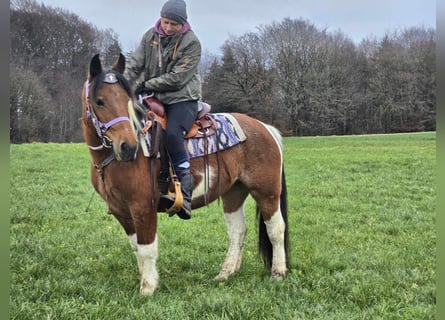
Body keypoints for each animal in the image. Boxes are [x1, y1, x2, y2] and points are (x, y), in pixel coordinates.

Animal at [81, 53, 290, 296]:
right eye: (99, 101)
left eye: (127, 100)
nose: (128, 147)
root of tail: (265, 128)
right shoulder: (121, 212)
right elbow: (136, 248)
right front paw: (145, 280)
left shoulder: (143, 208)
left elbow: (147, 249)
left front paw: (148, 288)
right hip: (233, 193)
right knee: (237, 231)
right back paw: (225, 273)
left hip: (267, 192)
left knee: (276, 229)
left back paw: (278, 273)